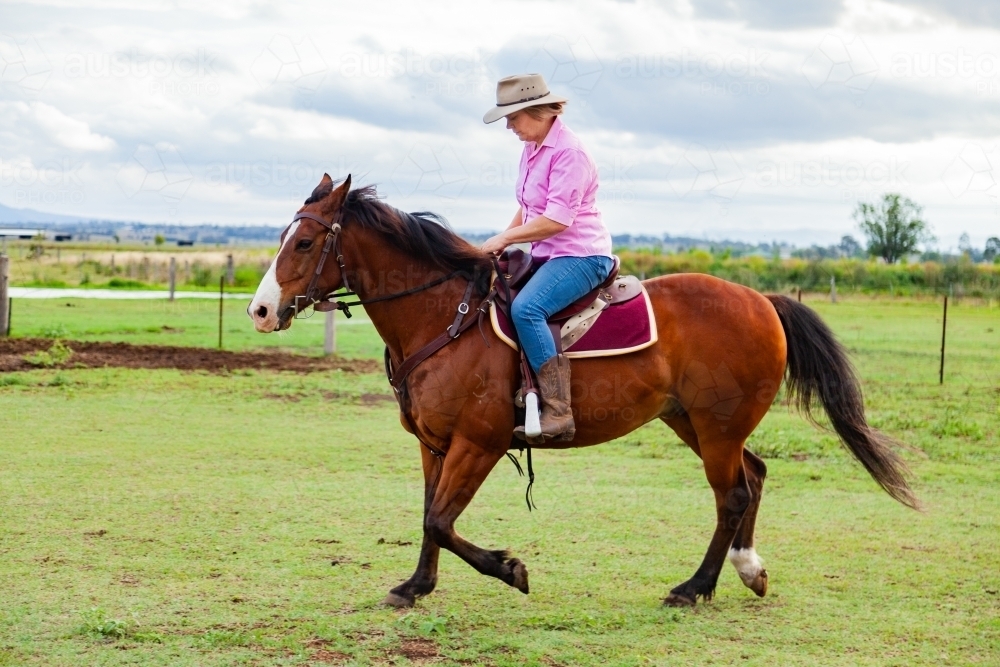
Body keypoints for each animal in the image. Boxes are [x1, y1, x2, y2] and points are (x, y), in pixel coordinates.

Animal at [246, 175, 916, 608]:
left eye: (304, 242)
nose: (259, 310)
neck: (446, 316)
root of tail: (763, 301)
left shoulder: (479, 443)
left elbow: (441, 519)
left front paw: (510, 569)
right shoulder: (433, 444)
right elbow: (429, 516)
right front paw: (416, 587)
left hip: (717, 426)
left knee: (731, 495)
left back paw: (694, 588)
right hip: (694, 422)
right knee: (753, 476)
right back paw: (748, 570)